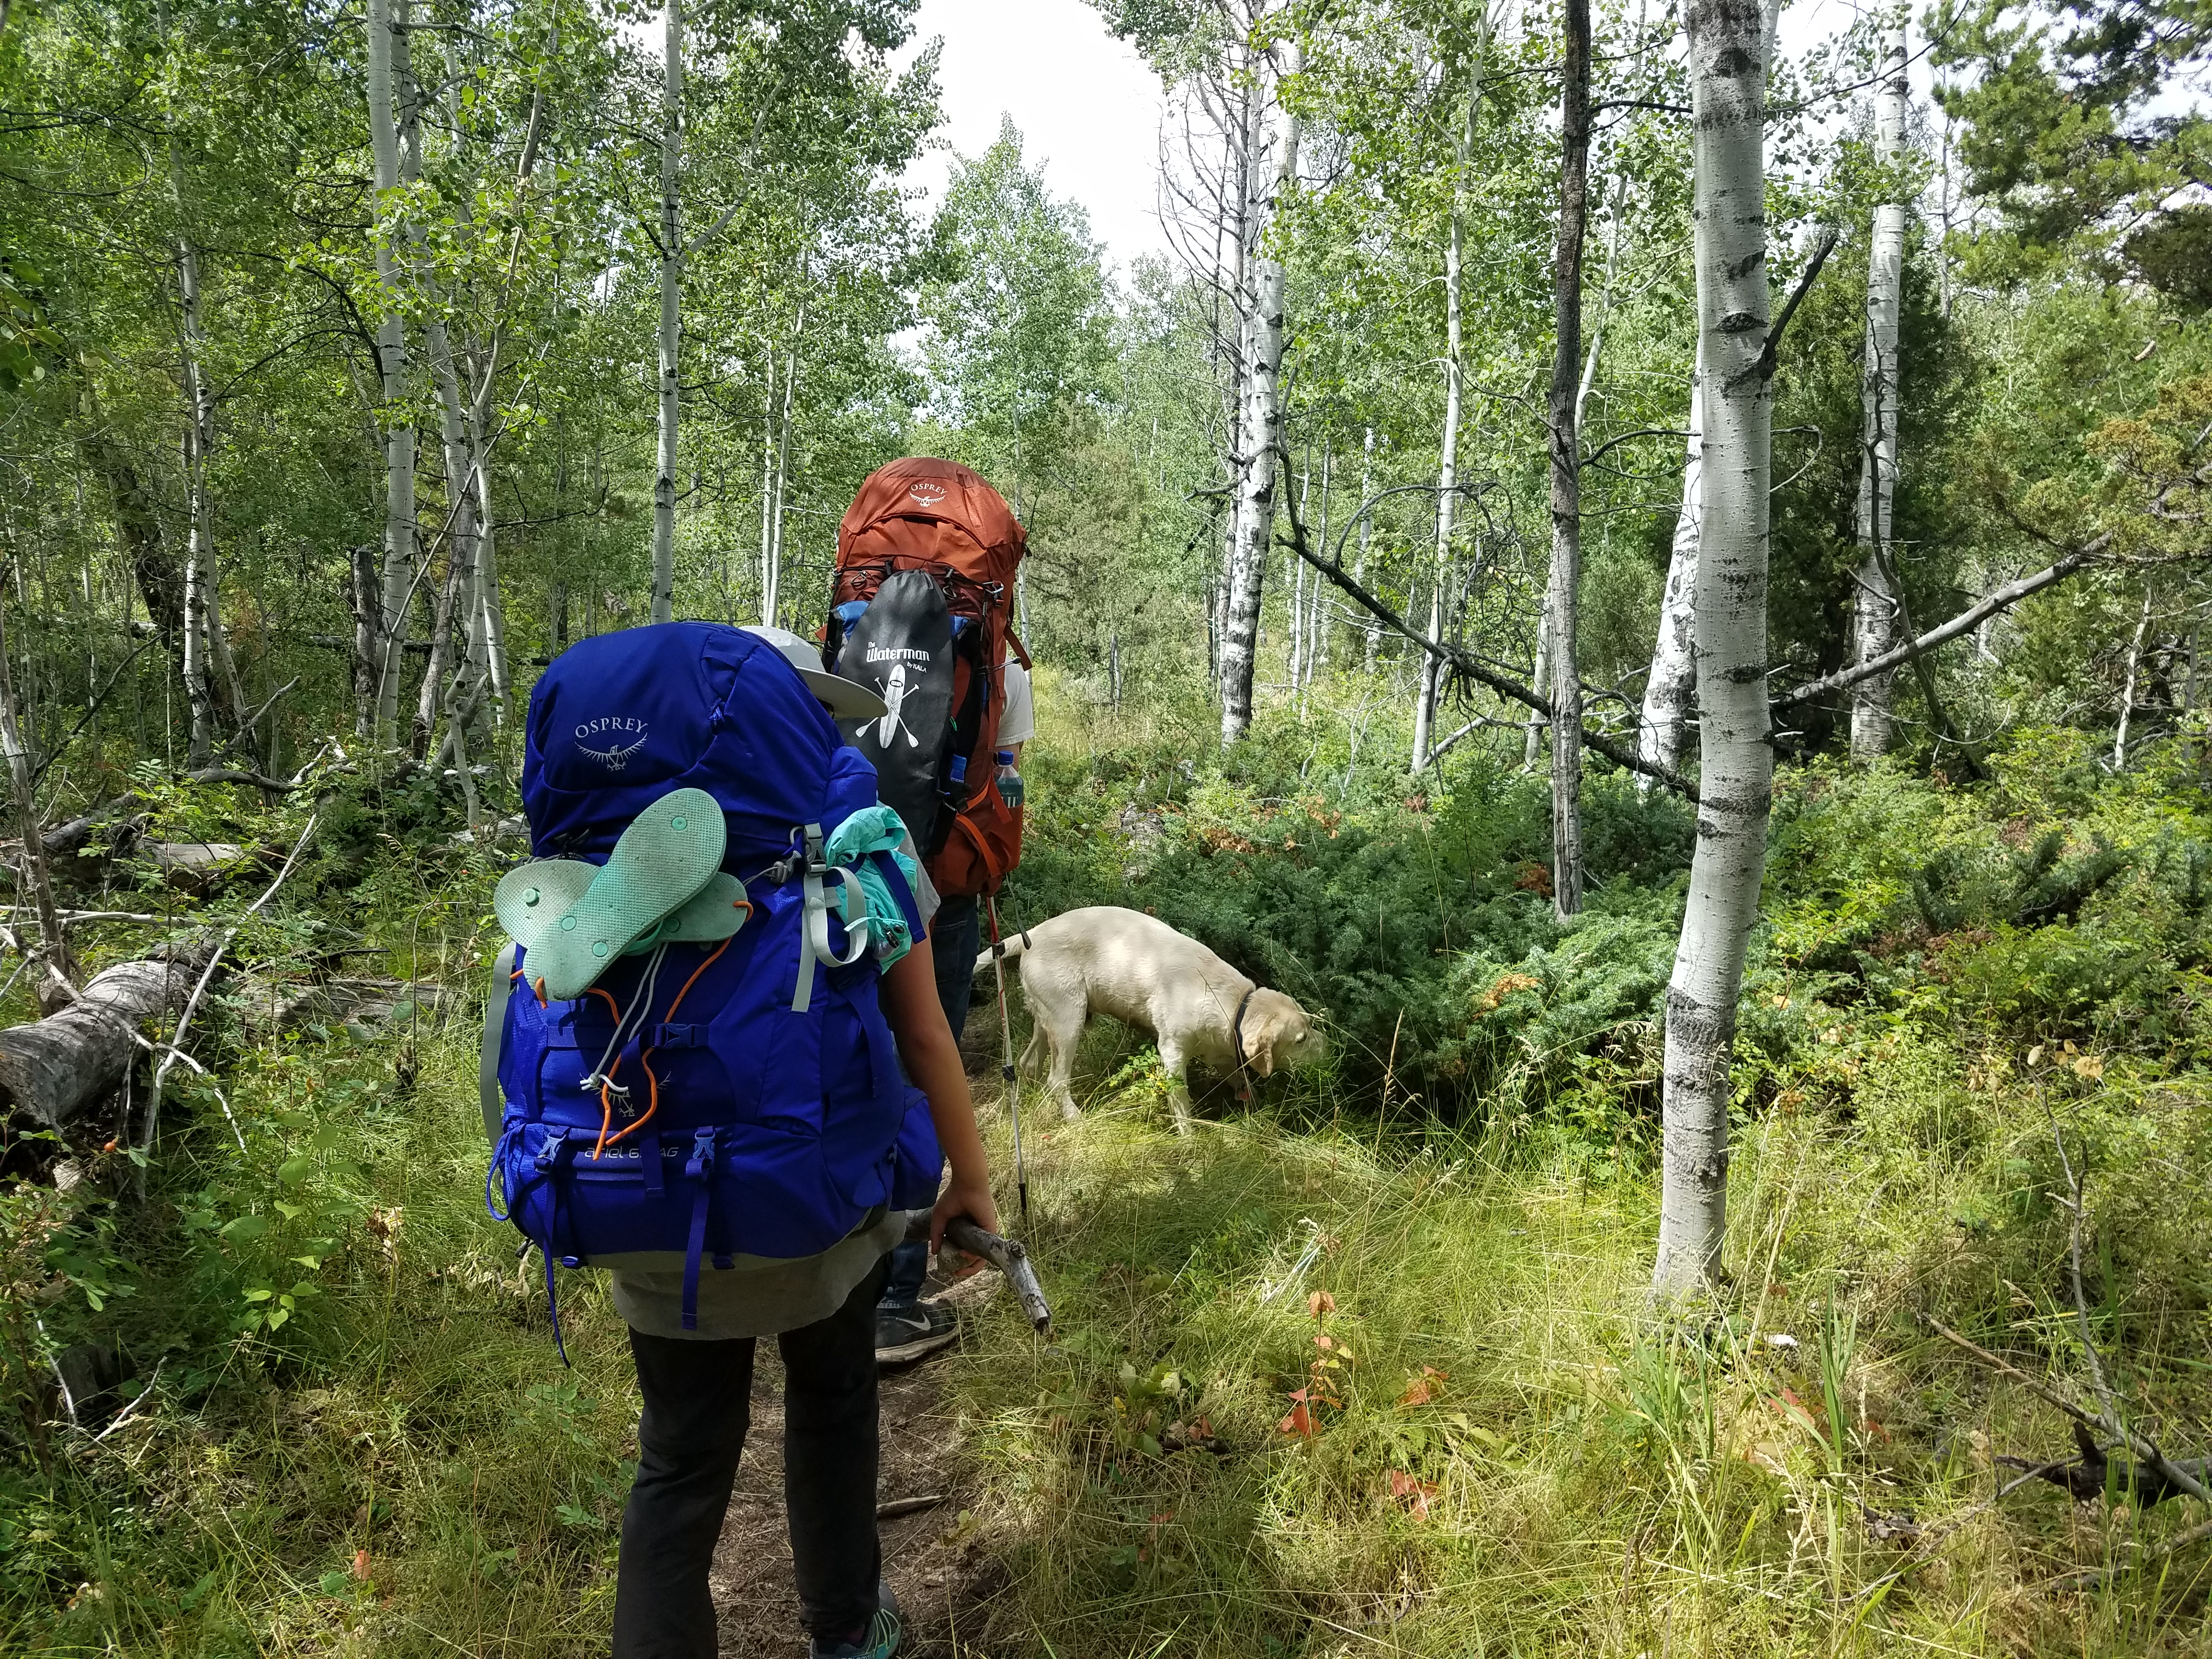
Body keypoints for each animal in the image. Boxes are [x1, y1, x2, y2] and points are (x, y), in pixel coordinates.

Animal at [978, 911, 1318, 1132]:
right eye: (1300, 1040)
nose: (1327, 1049)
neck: (1233, 1002)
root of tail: (1031, 936)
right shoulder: (1173, 1054)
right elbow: (1182, 1104)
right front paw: (1190, 1141)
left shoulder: (1221, 1052)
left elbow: (1241, 1081)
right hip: (1068, 1021)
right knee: (1057, 1079)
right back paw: (1074, 1118)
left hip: (1047, 1020)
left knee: (1029, 1062)